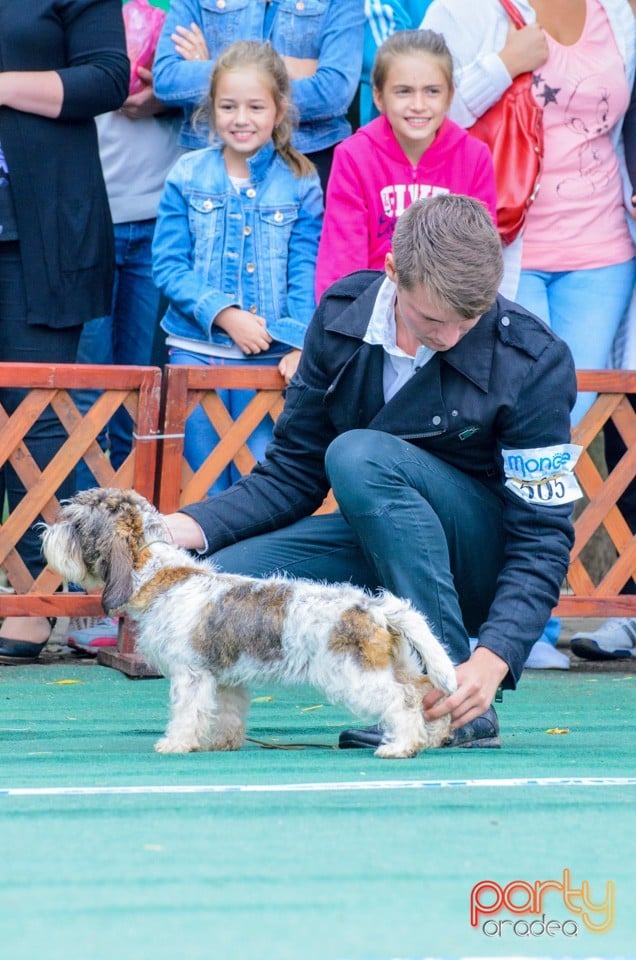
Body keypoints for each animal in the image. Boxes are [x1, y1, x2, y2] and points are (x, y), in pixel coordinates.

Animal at [43, 492, 458, 760]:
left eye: (76, 523)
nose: (45, 533)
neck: (162, 574)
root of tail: (375, 607)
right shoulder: (225, 678)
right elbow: (225, 713)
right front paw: (220, 743)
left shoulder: (190, 674)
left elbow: (186, 712)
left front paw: (176, 744)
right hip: (396, 665)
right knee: (426, 693)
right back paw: (434, 736)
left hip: (354, 676)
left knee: (402, 700)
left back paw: (400, 747)